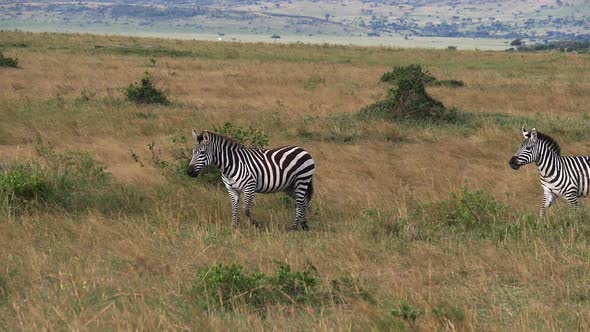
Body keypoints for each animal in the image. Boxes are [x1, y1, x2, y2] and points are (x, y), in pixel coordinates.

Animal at [187, 130, 316, 231]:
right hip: (290, 186)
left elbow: (246, 210)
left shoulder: (250, 186)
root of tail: (302, 149)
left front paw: (257, 224)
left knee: (300, 203)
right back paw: (304, 225)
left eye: (202, 152)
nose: (189, 172)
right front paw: (233, 227)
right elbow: (234, 208)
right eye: (193, 152)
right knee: (304, 201)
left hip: (301, 180)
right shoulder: (231, 189)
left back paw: (294, 227)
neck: (231, 164)